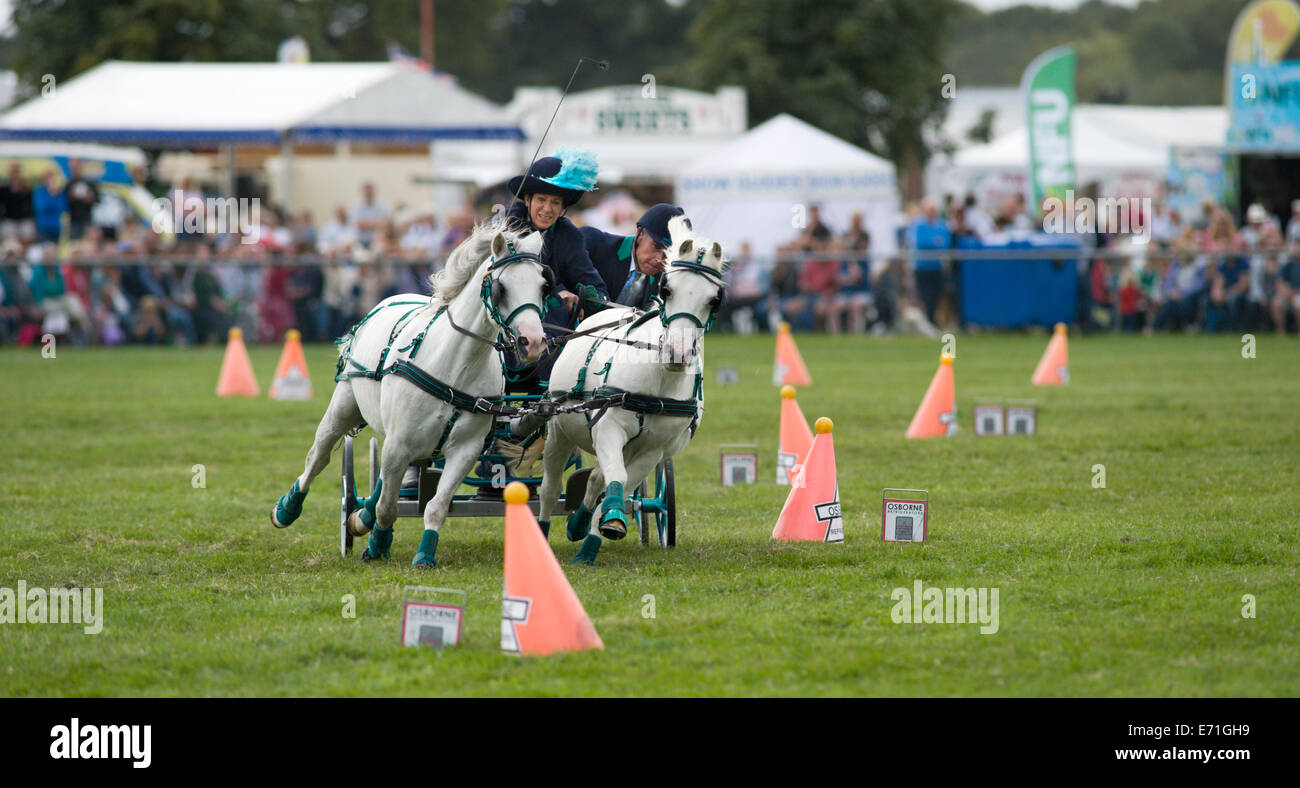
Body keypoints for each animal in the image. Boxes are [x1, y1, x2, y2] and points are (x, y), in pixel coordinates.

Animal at [271, 227, 551, 566]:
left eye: (543, 285)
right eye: (501, 287)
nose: (532, 342)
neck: (457, 365)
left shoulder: (465, 449)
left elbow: (435, 506)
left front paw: (424, 554)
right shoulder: (399, 443)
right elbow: (387, 507)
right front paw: (377, 544)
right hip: (346, 405)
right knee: (320, 454)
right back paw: (288, 508)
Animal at [535, 215, 728, 564]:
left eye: (714, 299)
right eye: (666, 289)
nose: (678, 354)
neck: (657, 384)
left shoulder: (653, 449)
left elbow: (619, 488)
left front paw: (599, 533)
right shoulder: (609, 427)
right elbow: (616, 479)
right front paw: (603, 523)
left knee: (596, 479)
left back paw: (578, 524)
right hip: (559, 430)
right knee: (550, 488)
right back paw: (542, 532)